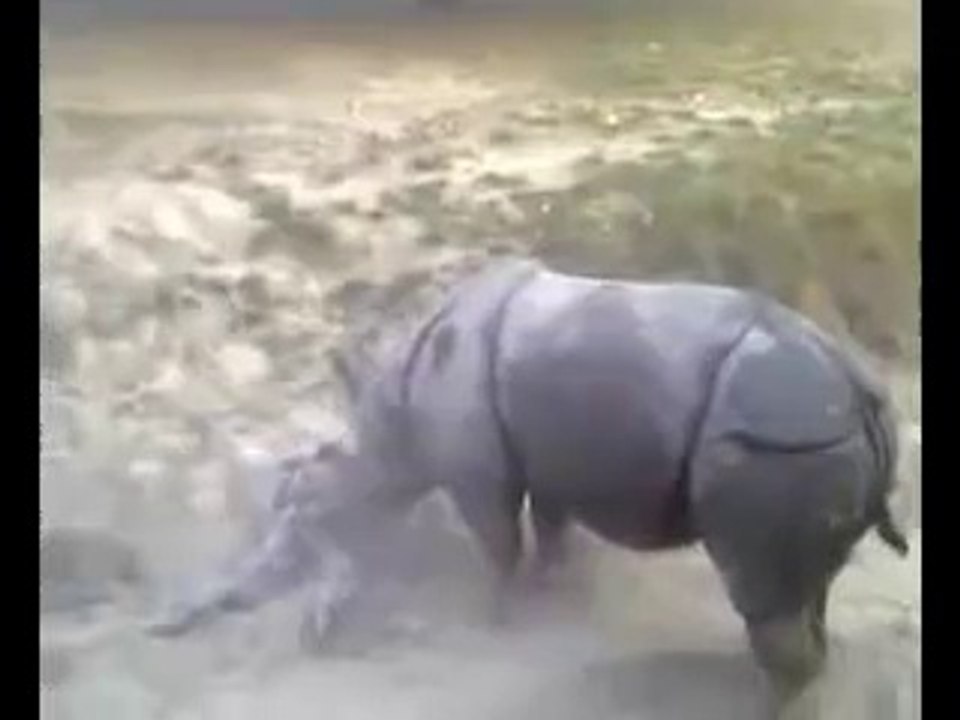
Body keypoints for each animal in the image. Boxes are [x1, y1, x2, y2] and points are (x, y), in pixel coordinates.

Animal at [149, 259, 908, 715]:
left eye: (304, 514)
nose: (176, 620)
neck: (388, 429)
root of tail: (859, 388)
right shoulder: (546, 461)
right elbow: (548, 531)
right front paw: (549, 604)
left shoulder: (476, 474)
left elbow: (498, 543)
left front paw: (490, 621)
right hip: (813, 438)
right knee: (805, 590)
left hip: (775, 442)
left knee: (762, 595)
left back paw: (759, 704)